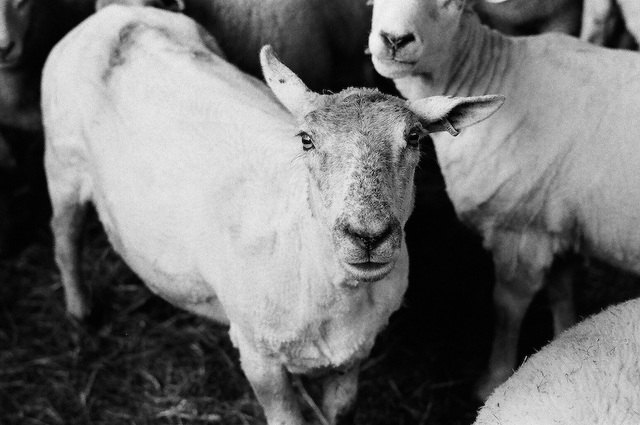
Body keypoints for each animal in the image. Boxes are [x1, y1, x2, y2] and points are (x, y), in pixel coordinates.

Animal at [41, 4, 504, 422]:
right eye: (306, 140)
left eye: (414, 138)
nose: (369, 236)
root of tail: (114, 15)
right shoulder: (258, 355)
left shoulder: (353, 356)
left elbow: (341, 413)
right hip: (62, 163)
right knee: (64, 238)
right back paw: (81, 313)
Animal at [368, 0, 640, 400]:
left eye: (451, 4)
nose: (394, 39)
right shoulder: (556, 223)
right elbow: (560, 291)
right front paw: (564, 337)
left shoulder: (521, 231)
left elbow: (507, 308)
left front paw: (492, 380)